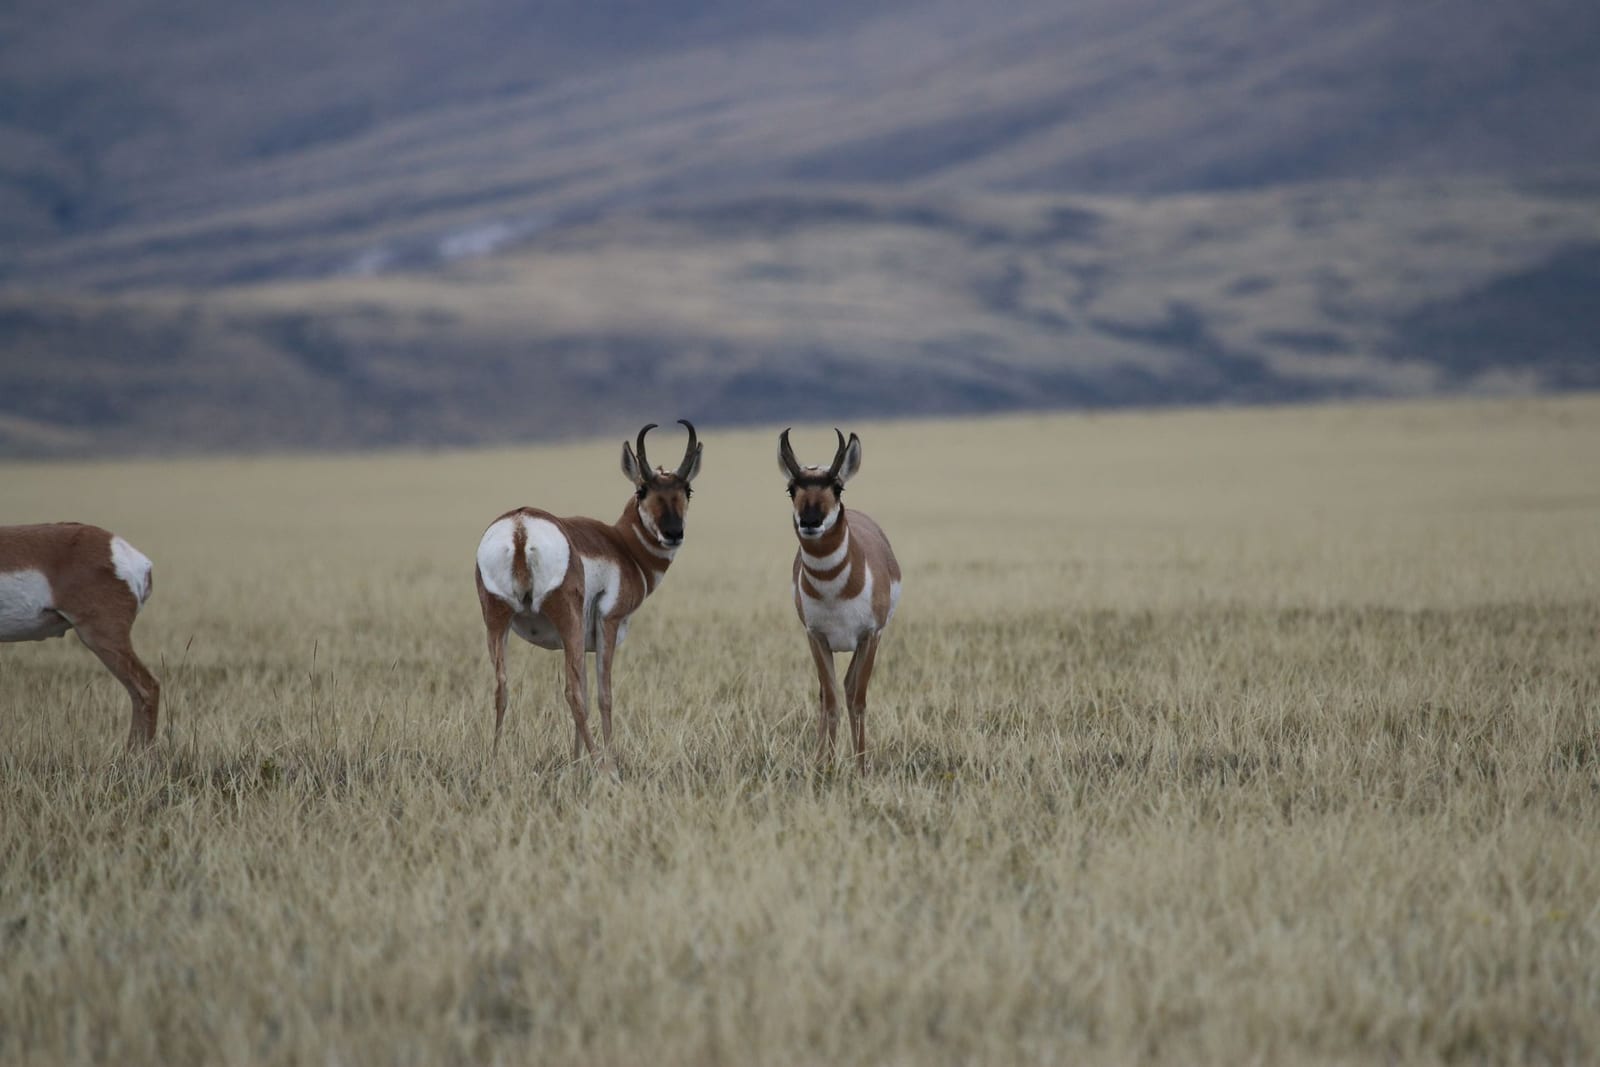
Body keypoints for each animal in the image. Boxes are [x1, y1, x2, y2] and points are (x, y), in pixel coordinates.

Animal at [474, 420, 703, 772]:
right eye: (642, 490)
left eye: (687, 490)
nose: (673, 533)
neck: (621, 546)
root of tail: (520, 527)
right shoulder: (607, 624)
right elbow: (603, 695)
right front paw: (608, 760)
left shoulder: (581, 642)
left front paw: (575, 760)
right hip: (564, 619)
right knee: (572, 692)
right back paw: (602, 765)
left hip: (497, 620)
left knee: (502, 688)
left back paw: (496, 761)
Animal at [778, 428, 900, 771]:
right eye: (792, 489)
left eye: (837, 486)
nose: (810, 520)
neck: (834, 591)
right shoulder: (816, 638)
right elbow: (830, 701)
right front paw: (827, 766)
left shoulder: (870, 636)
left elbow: (857, 700)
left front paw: (860, 766)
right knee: (828, 693)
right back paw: (820, 757)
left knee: (848, 688)